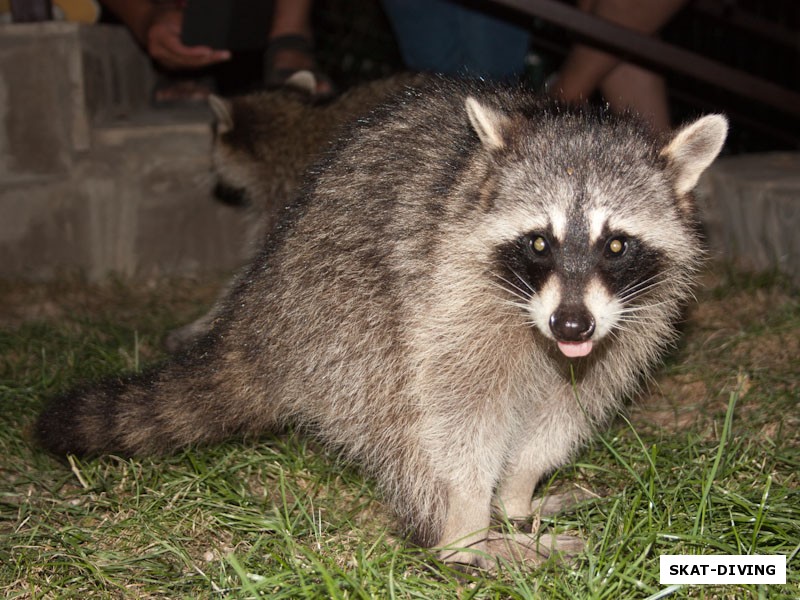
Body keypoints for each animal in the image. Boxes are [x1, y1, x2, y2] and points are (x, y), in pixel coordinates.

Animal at [36, 77, 724, 568]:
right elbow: (459, 417)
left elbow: (567, 408)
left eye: (616, 245)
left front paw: (518, 492)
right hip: (344, 327)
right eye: (538, 243)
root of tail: (259, 311)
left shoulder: (631, 318)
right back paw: (460, 540)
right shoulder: (449, 294)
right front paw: (471, 518)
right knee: (404, 420)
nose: (571, 328)